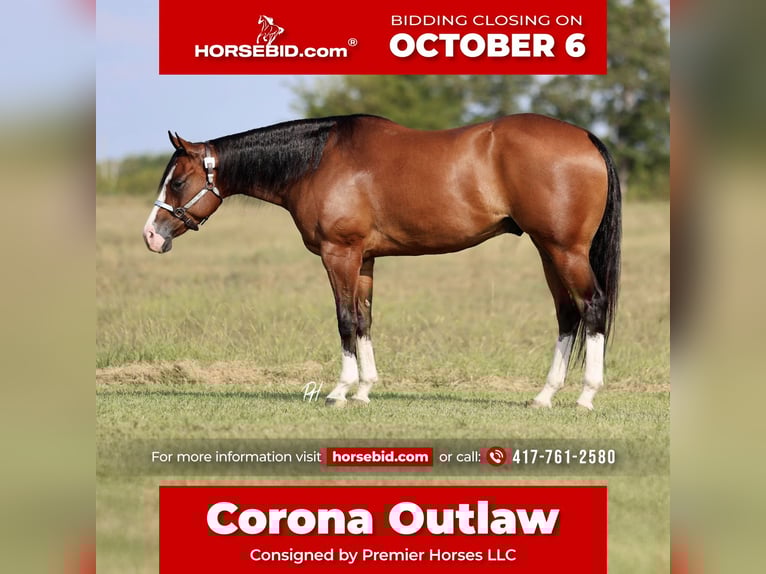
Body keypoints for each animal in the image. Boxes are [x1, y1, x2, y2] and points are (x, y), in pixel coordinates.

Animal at [143, 114, 621, 410]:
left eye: (178, 181)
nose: (151, 235)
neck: (318, 161)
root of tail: (586, 138)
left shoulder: (340, 254)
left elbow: (344, 321)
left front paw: (339, 391)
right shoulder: (366, 259)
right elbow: (364, 320)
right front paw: (364, 390)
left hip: (564, 250)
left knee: (592, 306)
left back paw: (585, 396)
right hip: (548, 251)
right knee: (566, 314)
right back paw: (544, 396)